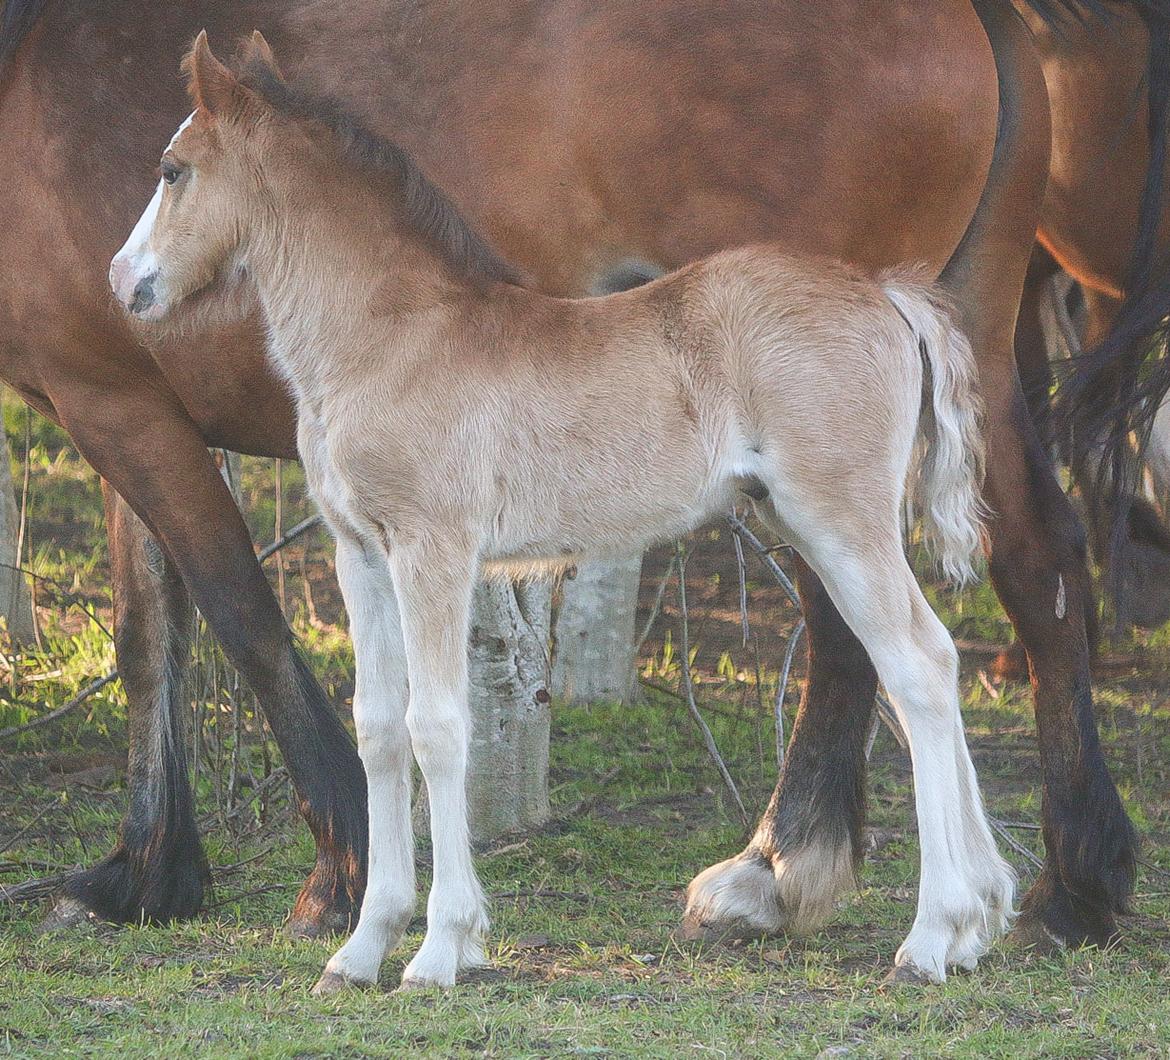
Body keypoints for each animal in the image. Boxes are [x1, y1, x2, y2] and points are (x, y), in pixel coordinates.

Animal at [0, 0, 1151, 940]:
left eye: (172, 169)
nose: (124, 281)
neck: (401, 325)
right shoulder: (276, 495)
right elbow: (163, 634)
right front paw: (145, 875)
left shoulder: (132, 408)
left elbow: (275, 637)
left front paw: (359, 897)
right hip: (974, 331)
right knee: (1026, 571)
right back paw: (1054, 890)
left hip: (831, 500)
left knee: (896, 649)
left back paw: (831, 890)